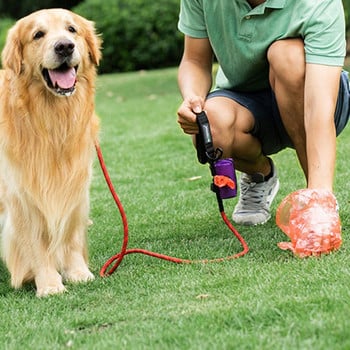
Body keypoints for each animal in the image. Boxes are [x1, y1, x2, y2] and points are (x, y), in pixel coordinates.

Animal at [0, 8, 101, 296]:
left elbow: (70, 233)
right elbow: (35, 243)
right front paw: (48, 284)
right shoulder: (21, 195)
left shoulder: (75, 182)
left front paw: (78, 272)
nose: (65, 47)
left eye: (72, 30)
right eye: (38, 34)